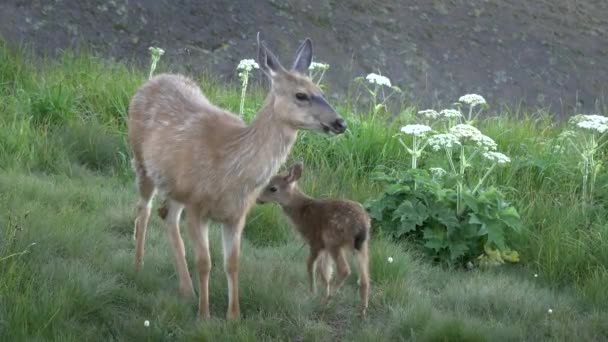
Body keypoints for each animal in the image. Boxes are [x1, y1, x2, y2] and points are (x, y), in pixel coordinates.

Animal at [127, 33, 346, 320]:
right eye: (301, 95)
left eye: (321, 91)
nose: (340, 122)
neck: (230, 171)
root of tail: (152, 80)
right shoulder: (197, 207)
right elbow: (205, 262)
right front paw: (204, 316)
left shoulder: (236, 214)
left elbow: (232, 264)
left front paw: (233, 317)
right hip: (141, 160)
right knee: (144, 208)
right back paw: (138, 265)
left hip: (176, 186)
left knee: (168, 215)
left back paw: (186, 289)